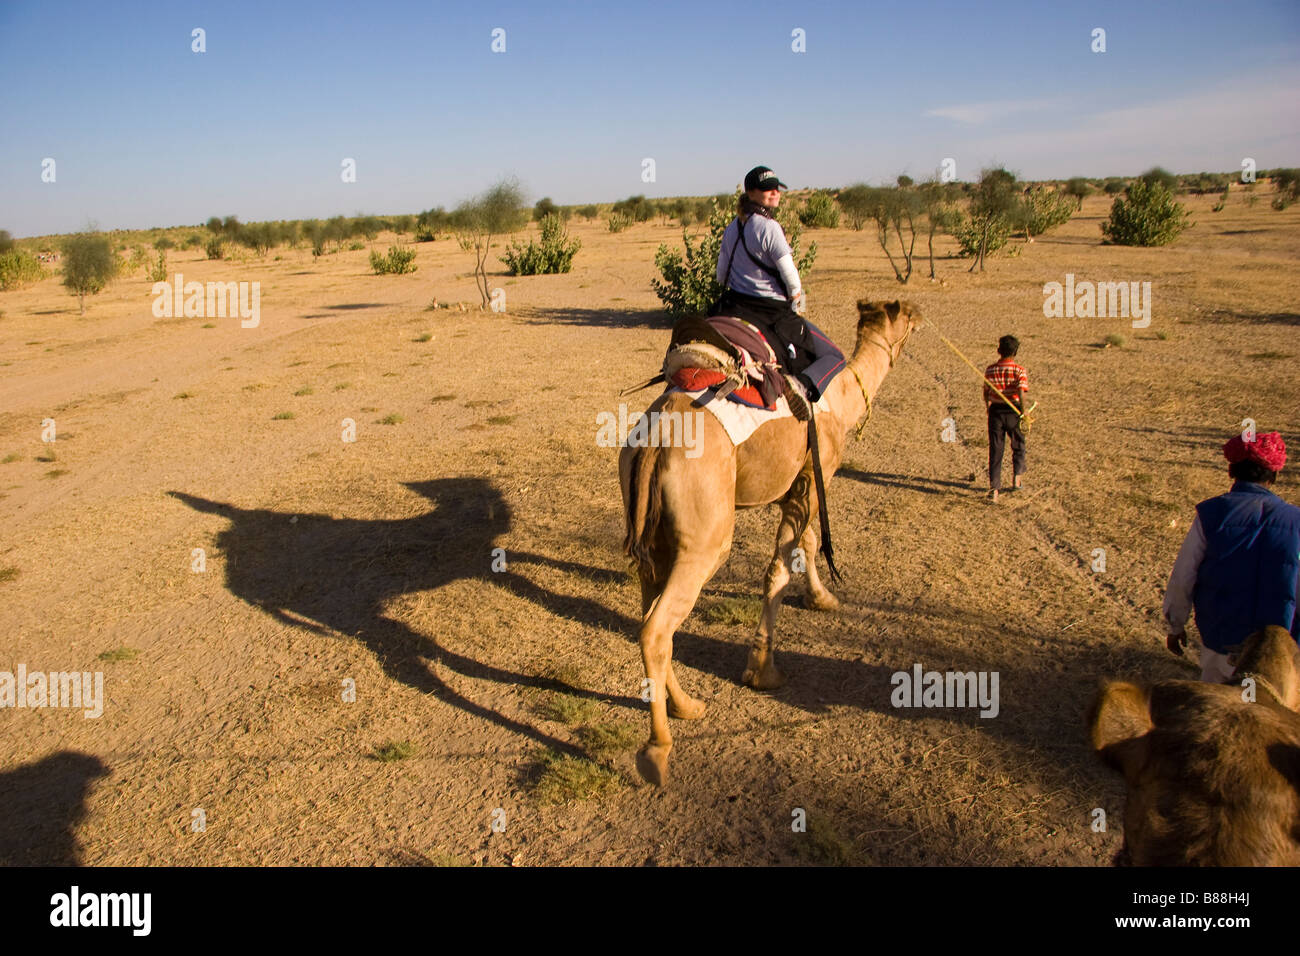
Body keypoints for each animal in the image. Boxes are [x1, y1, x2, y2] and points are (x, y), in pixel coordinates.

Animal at [616, 297, 915, 785]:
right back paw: (658, 750)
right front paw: (763, 670)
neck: (843, 400)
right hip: (706, 540)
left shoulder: (798, 485)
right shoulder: (813, 476)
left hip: (651, 532)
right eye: (906, 313)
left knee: (649, 615)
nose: (920, 315)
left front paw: (821, 598)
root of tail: (659, 434)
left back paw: (687, 706)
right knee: (658, 628)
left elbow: (806, 546)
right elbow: (779, 570)